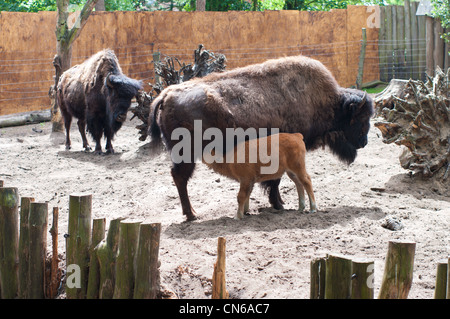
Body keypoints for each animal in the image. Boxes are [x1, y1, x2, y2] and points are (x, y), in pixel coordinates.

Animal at [149, 55, 374, 221]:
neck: (330, 102)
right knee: (180, 178)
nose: (364, 142)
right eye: (361, 118)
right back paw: (191, 215)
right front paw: (279, 204)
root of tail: (166, 95)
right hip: (186, 155)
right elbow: (274, 181)